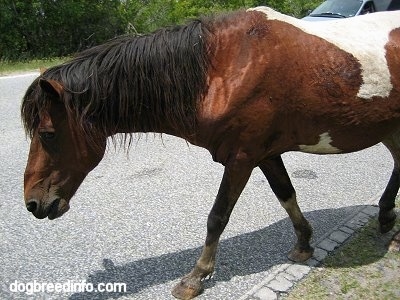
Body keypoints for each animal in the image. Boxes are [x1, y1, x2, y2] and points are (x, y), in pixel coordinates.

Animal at [21, 7, 400, 300]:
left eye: (48, 134)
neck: (222, 69)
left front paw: (196, 277)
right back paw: (384, 216)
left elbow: (217, 217)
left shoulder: (242, 159)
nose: (33, 203)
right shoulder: (265, 154)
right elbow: (286, 195)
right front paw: (304, 244)